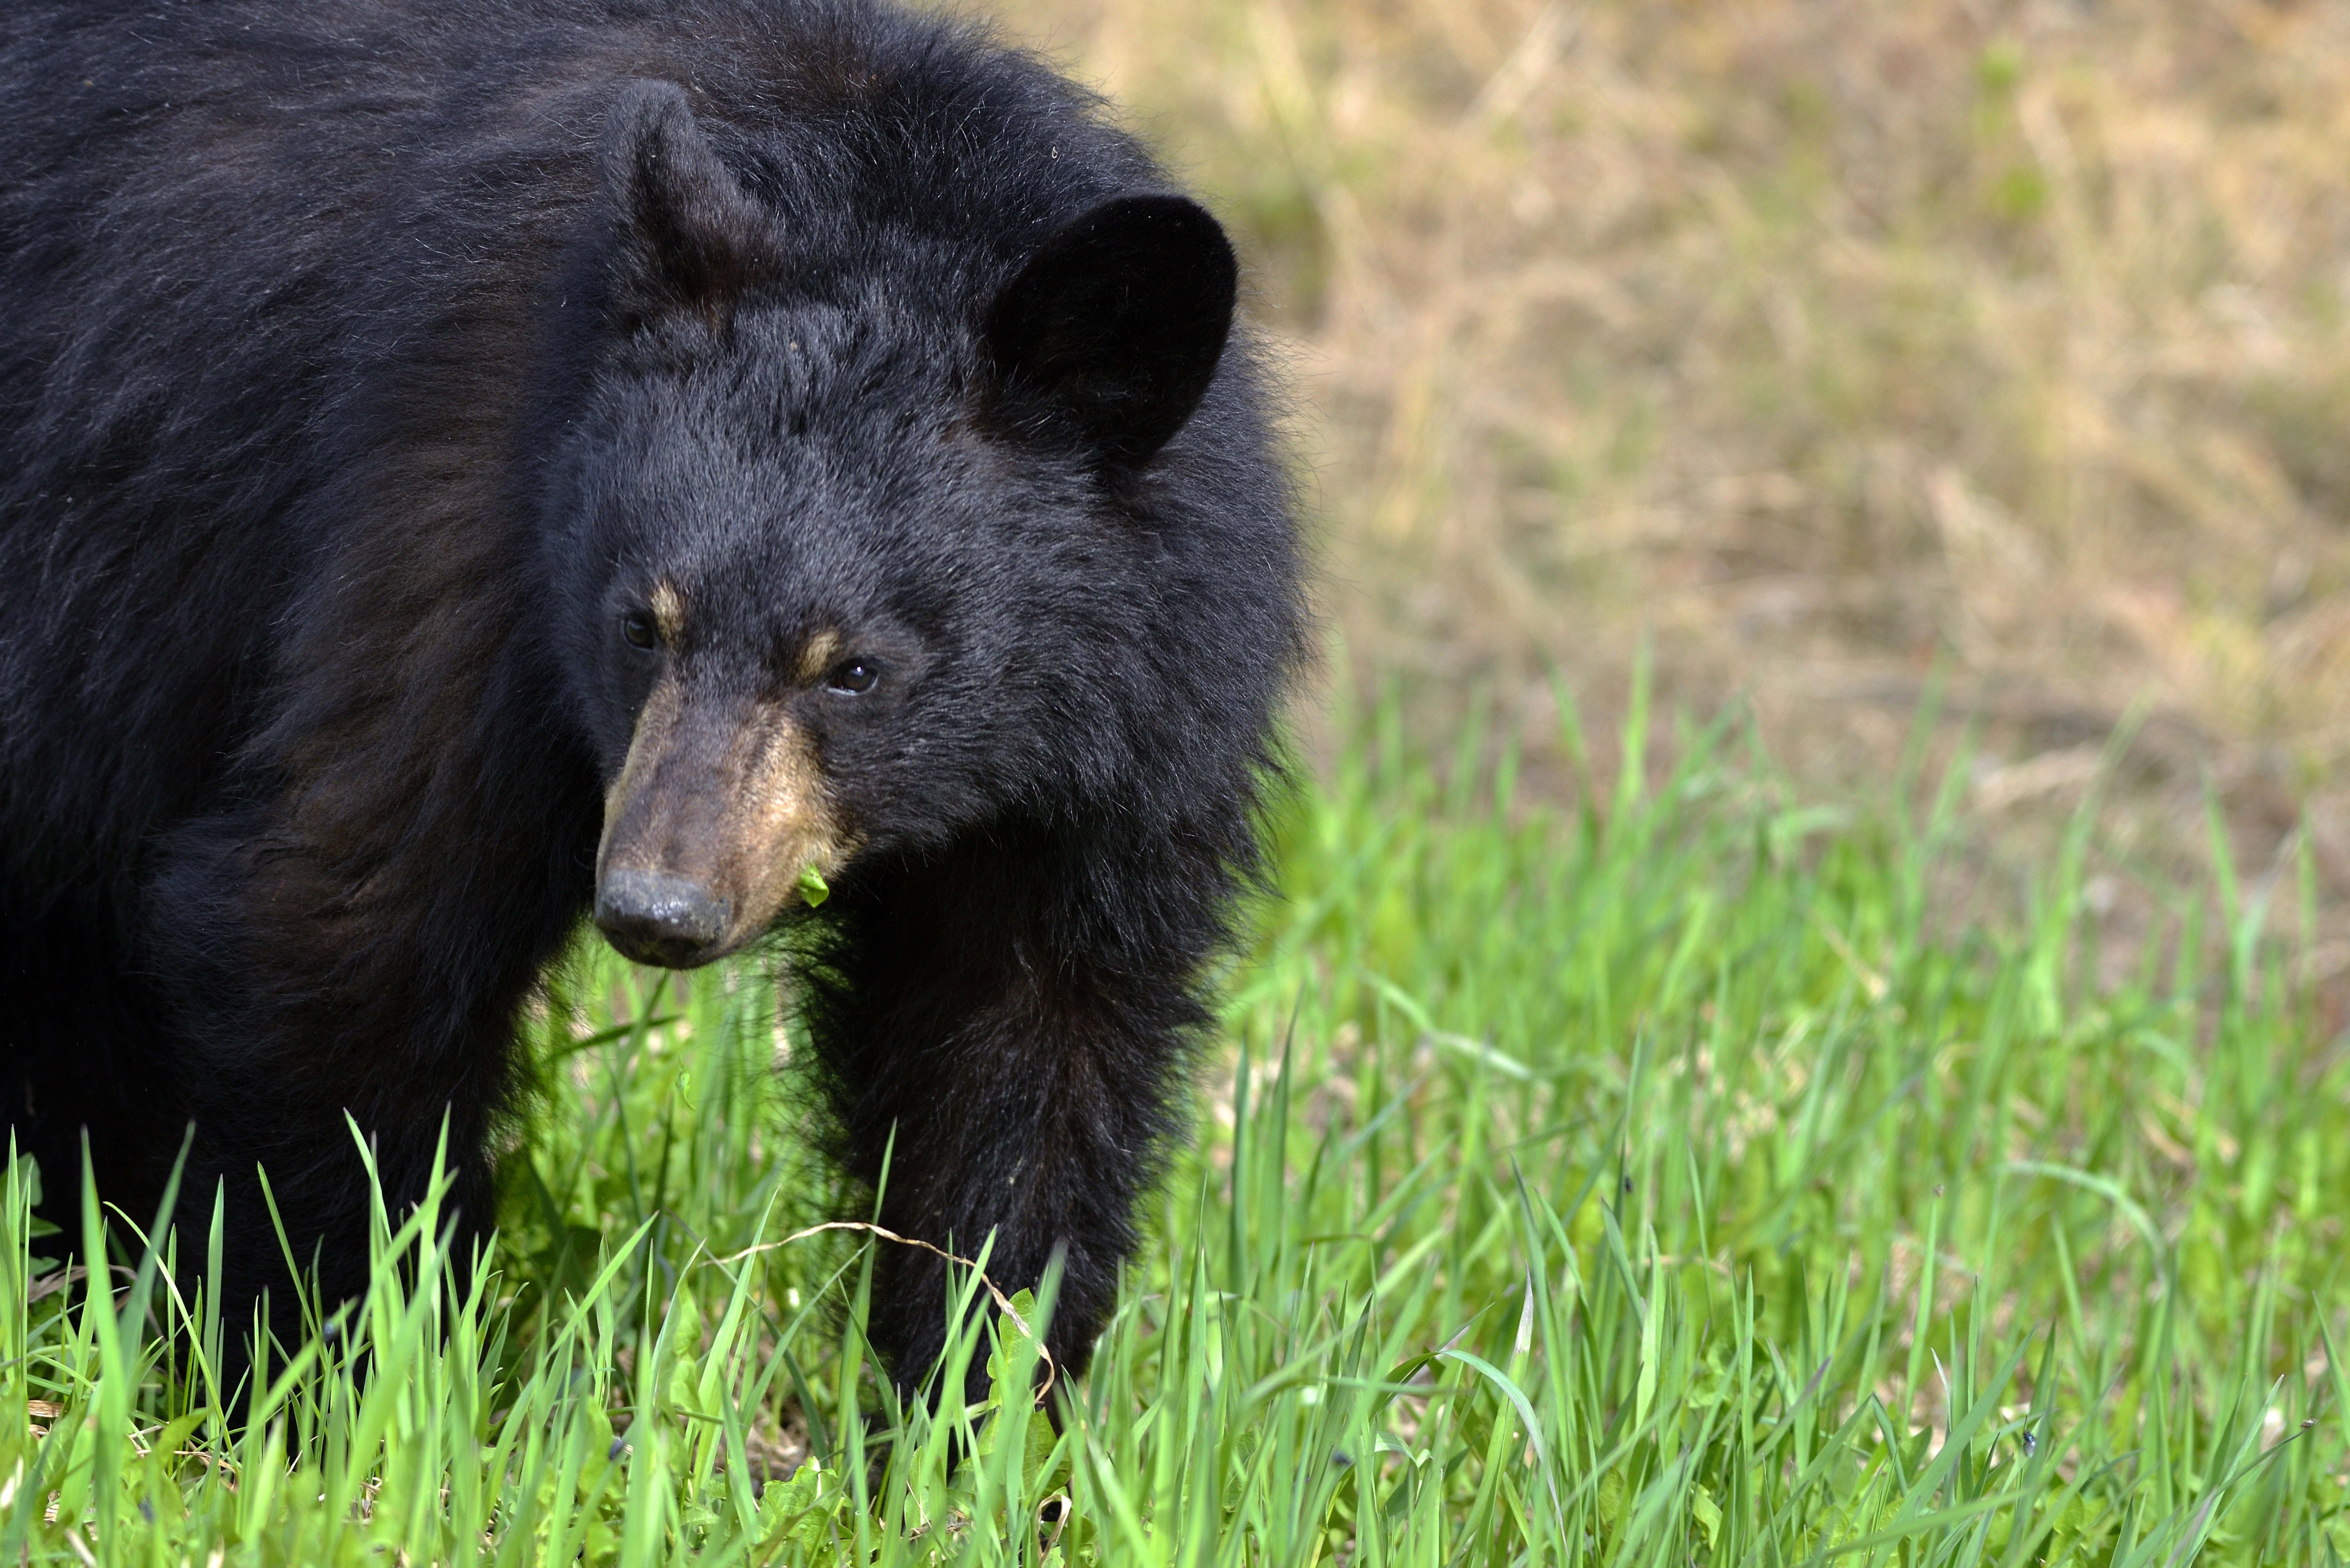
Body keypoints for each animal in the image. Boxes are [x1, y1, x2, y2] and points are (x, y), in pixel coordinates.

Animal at [0, 0, 1304, 1397]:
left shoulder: (1114, 747)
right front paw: (344, 1369)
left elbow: (1025, 1048)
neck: (877, 179)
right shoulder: (465, 508)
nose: (657, 907)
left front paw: (980, 1400)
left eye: (853, 667)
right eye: (642, 624)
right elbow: (348, 901)